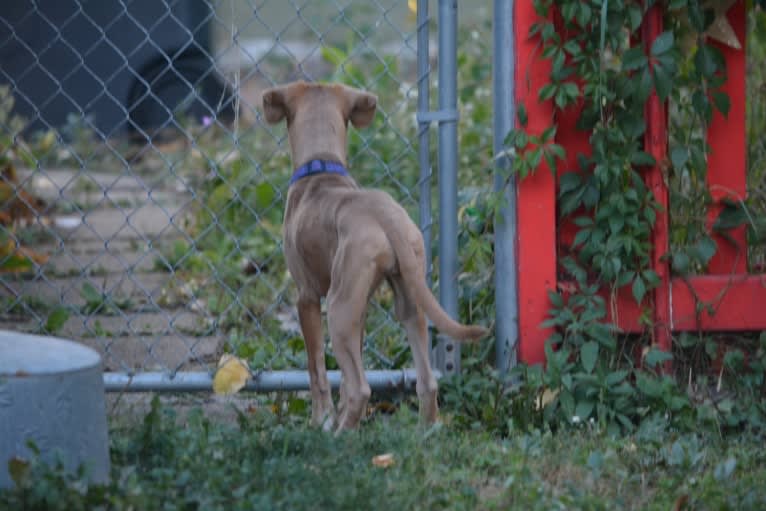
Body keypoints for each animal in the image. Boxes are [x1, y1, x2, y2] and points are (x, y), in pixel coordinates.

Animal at [264, 82, 488, 434]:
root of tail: (385, 215)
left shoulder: (307, 297)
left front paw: (320, 420)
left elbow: (317, 369)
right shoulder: (362, 307)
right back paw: (423, 432)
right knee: (426, 381)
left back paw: (338, 436)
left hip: (338, 311)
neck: (321, 165)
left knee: (361, 388)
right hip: (407, 300)